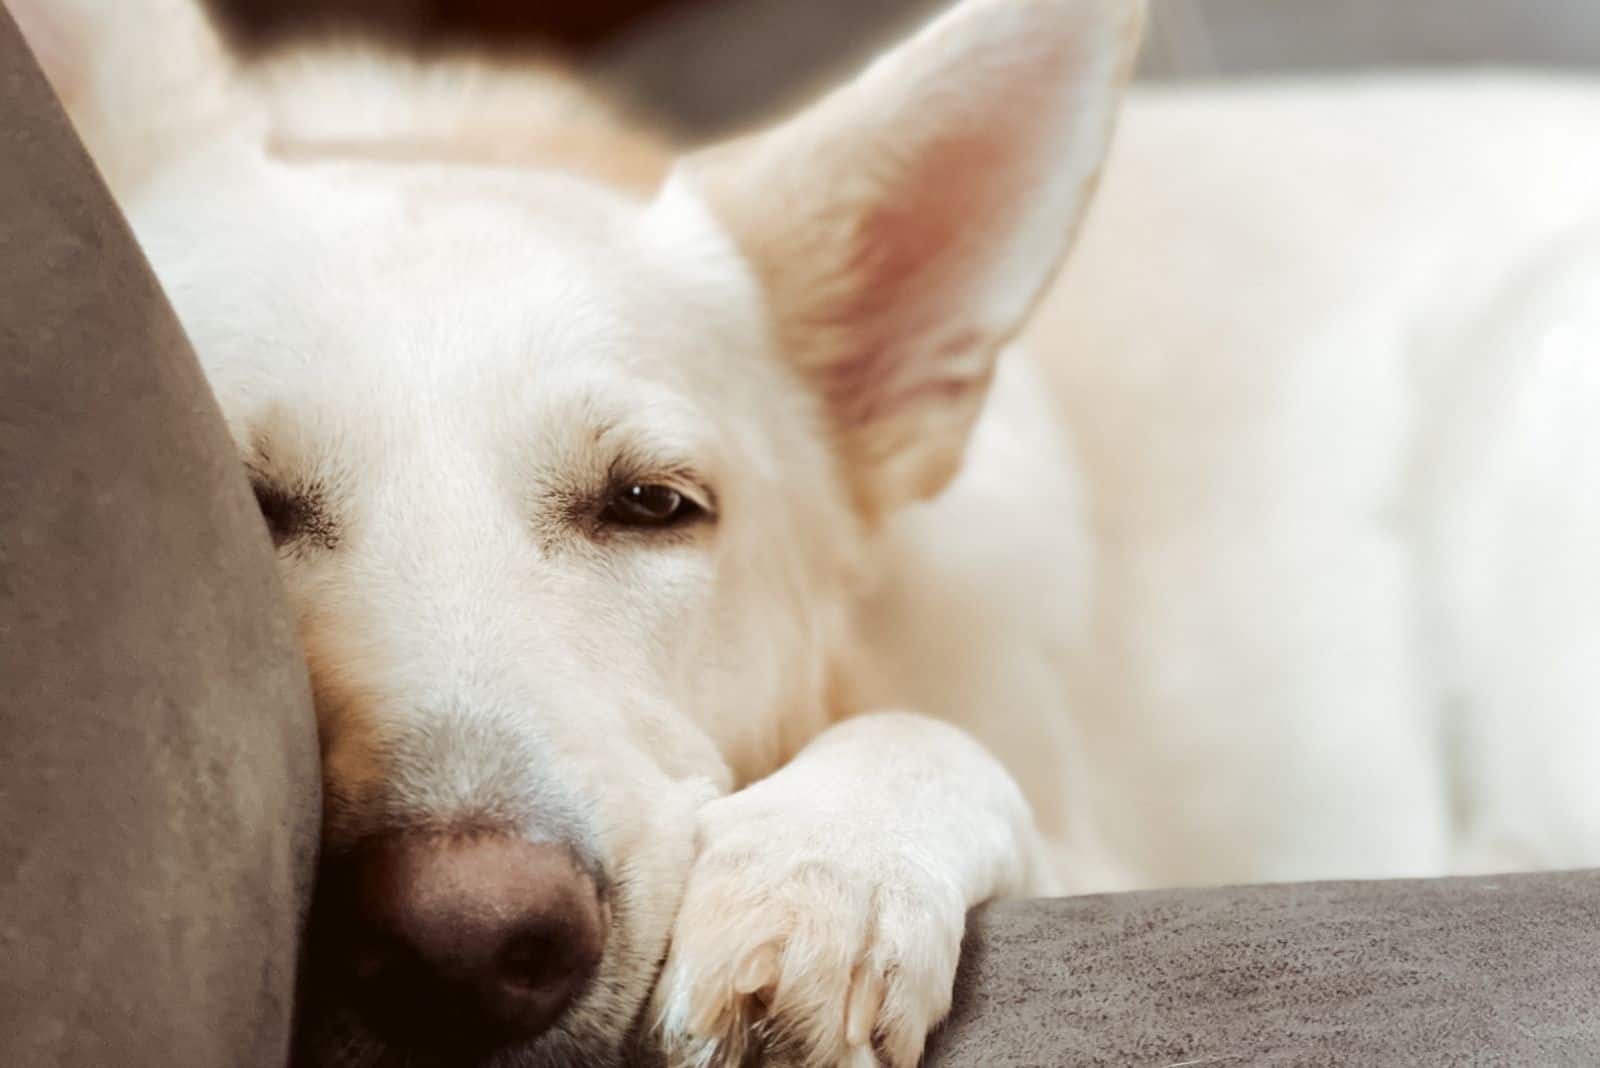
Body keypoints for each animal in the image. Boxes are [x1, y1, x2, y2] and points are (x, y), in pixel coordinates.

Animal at [15, 0, 1600, 1061]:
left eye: (652, 506)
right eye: (245, 499)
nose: (463, 946)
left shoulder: (1111, 841)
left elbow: (931, 740)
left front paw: (825, 871)